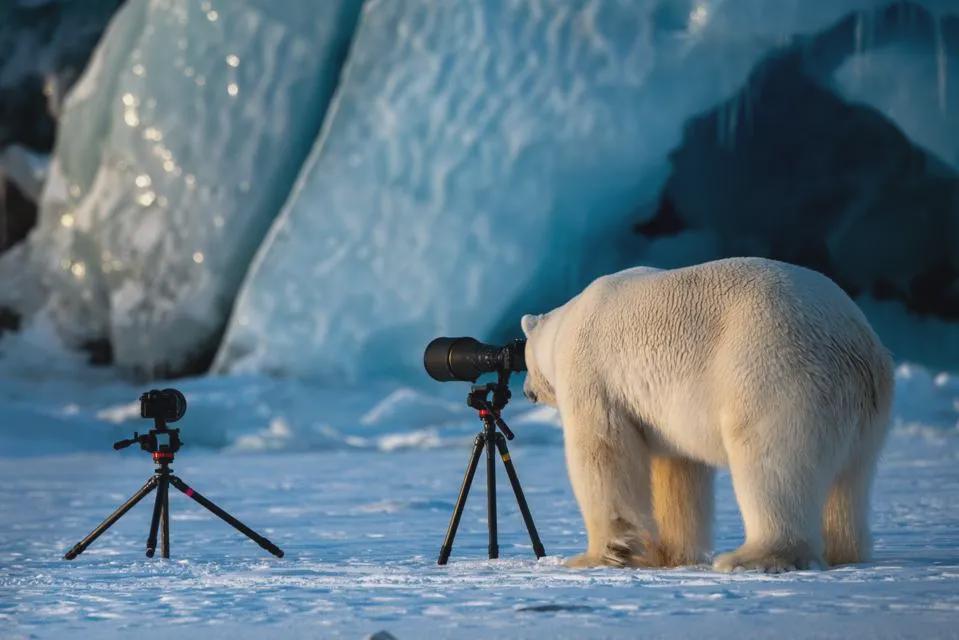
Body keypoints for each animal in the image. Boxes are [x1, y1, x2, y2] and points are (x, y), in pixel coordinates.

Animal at [521, 257, 893, 573]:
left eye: (523, 359)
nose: (526, 391)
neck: (566, 324)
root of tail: (858, 343)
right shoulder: (665, 414)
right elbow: (677, 471)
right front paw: (666, 555)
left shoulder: (593, 374)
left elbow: (603, 452)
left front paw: (596, 556)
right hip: (864, 413)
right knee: (850, 481)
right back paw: (844, 552)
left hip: (777, 372)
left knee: (771, 463)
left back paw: (751, 557)